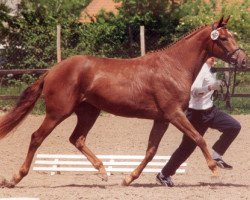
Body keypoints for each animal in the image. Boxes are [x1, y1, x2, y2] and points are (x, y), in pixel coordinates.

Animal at [0, 17, 247, 188]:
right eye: (223, 38)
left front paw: (128, 178)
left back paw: (103, 171)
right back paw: (14, 178)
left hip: (89, 112)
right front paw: (214, 170)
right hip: (57, 112)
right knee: (37, 137)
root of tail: (52, 71)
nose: (243, 60)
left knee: (77, 139)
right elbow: (198, 138)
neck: (173, 66)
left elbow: (151, 151)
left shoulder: (162, 119)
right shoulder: (174, 114)